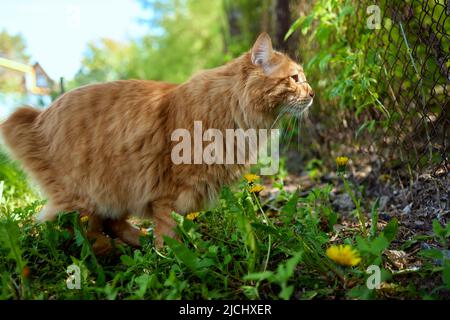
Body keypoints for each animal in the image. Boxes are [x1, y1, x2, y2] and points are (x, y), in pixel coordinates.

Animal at [0, 31, 314, 252]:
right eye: (295, 78)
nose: (312, 93)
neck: (230, 106)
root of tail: (38, 117)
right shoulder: (168, 192)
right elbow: (169, 232)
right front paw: (171, 258)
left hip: (113, 192)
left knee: (111, 222)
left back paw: (138, 242)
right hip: (86, 196)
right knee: (77, 231)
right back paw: (110, 251)